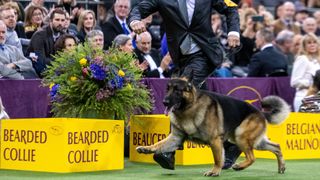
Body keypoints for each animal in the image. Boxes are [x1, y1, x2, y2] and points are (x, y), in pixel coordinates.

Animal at [136, 76, 292, 176]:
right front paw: (146, 148)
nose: (165, 102)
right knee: (276, 147)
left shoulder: (215, 141)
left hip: (241, 136)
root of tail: (260, 112)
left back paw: (239, 166)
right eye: (167, 89)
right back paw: (282, 167)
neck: (189, 109)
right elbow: (158, 144)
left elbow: (217, 159)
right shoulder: (175, 138)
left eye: (177, 90)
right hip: (253, 141)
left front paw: (215, 171)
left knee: (252, 157)